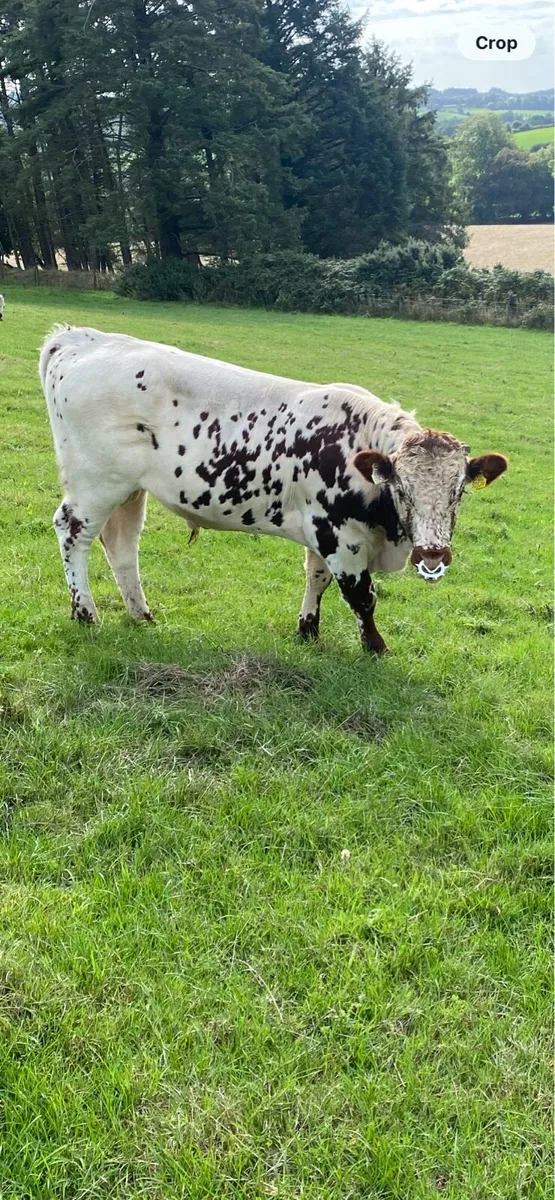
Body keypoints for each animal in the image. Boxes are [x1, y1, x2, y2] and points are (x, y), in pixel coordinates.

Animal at [40, 325, 507, 653]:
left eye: (459, 491)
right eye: (402, 489)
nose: (433, 555)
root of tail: (78, 338)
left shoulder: (322, 533)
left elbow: (316, 578)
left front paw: (308, 631)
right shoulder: (338, 536)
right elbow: (361, 596)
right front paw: (375, 647)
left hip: (130, 490)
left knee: (122, 547)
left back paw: (142, 615)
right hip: (95, 483)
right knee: (72, 533)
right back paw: (85, 614)